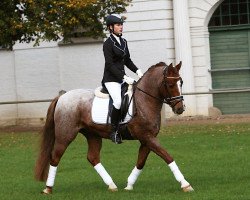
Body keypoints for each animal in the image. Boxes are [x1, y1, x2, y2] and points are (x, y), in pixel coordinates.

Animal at [34, 61, 194, 194]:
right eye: (170, 84)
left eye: (181, 82)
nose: (180, 109)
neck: (144, 100)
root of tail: (62, 97)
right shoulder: (147, 137)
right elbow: (167, 156)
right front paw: (185, 184)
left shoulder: (147, 139)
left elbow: (141, 162)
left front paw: (129, 185)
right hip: (65, 135)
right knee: (55, 157)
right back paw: (48, 188)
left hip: (92, 134)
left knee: (93, 157)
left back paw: (111, 185)